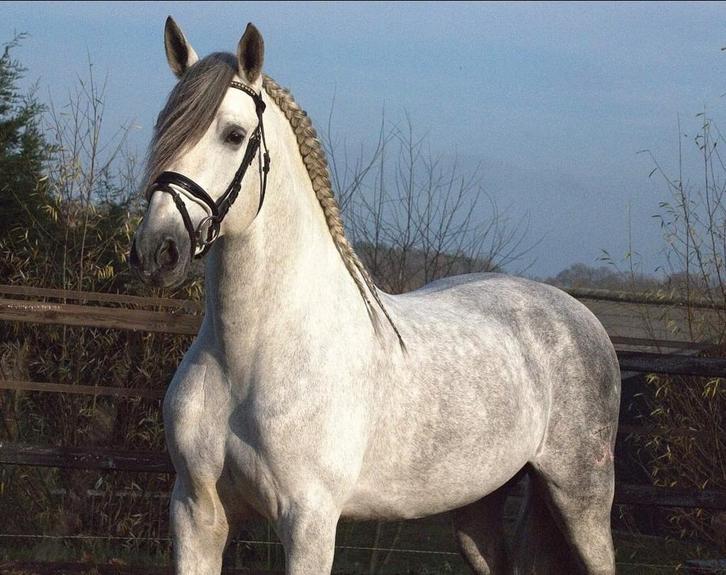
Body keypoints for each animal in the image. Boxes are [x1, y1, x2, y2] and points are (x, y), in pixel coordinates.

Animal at [129, 17, 620, 575]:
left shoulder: (309, 522)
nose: (157, 250)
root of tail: (580, 316)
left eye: (234, 135)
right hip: (478, 503)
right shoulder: (196, 513)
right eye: (165, 127)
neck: (248, 358)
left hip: (582, 497)